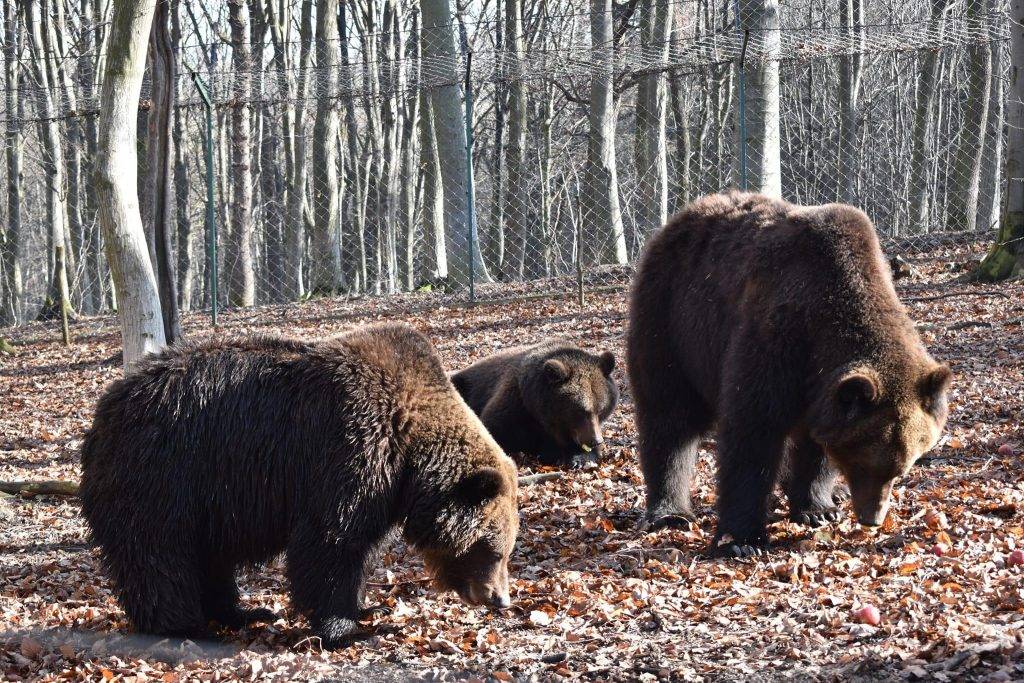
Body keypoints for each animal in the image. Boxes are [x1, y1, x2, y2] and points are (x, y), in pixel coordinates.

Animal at [77, 325, 520, 647]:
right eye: (495, 550)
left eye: (507, 550)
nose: (500, 598)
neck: (406, 449)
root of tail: (104, 409)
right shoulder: (346, 451)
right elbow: (331, 543)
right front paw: (347, 628)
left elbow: (355, 549)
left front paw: (365, 610)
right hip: (164, 476)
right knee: (159, 554)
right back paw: (181, 625)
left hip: (206, 500)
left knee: (210, 557)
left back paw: (242, 612)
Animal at [452, 342, 618, 471]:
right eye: (580, 411)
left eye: (601, 410)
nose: (596, 440)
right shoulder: (514, 405)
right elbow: (494, 429)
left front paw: (579, 458)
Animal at [626, 191, 954, 557]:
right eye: (864, 462)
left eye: (902, 468)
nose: (872, 518)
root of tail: (684, 215)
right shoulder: (775, 337)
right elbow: (753, 431)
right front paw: (741, 540)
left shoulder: (819, 385)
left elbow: (815, 445)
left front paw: (817, 508)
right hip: (671, 319)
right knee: (670, 416)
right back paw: (669, 512)